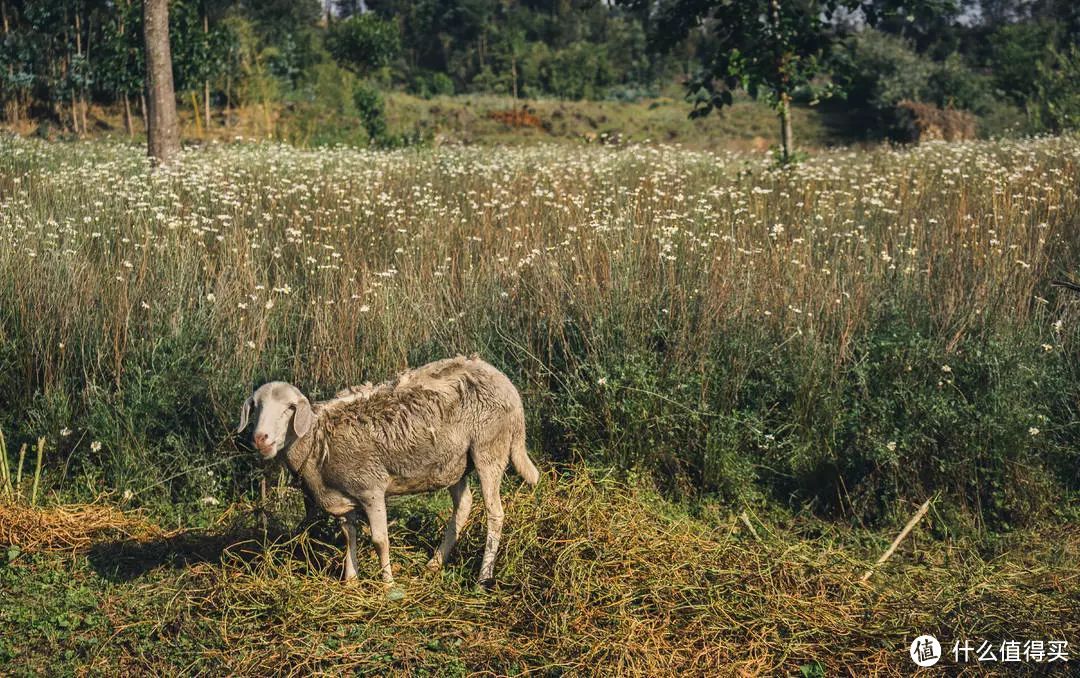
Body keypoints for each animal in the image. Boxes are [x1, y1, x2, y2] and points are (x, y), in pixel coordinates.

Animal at [237, 354, 540, 582]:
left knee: (495, 513)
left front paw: (388, 584)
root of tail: (503, 381)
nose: (260, 439)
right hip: (454, 463)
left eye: (289, 408)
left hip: (489, 447)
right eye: (256, 407)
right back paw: (435, 563)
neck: (317, 439)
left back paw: (483, 576)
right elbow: (349, 536)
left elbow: (379, 540)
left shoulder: (370, 488)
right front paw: (350, 580)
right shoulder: (344, 496)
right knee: (464, 505)